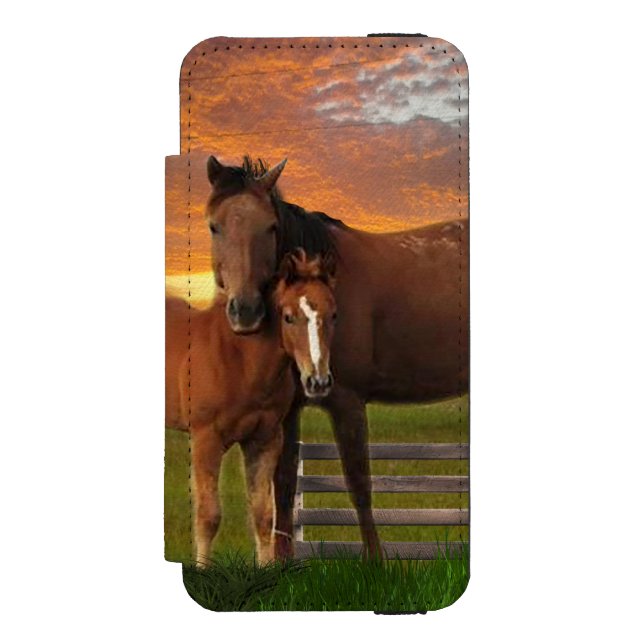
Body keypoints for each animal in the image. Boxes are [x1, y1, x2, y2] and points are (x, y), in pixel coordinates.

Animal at [165, 250, 338, 565]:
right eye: (288, 317)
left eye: (334, 314)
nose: (318, 381)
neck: (241, 361)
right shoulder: (205, 439)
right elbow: (208, 515)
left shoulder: (265, 439)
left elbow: (263, 515)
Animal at [203, 155, 469, 560]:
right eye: (214, 226)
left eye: (270, 227)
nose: (246, 311)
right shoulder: (289, 410)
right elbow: (283, 484)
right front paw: (283, 564)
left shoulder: (347, 400)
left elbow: (358, 483)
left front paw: (376, 563)